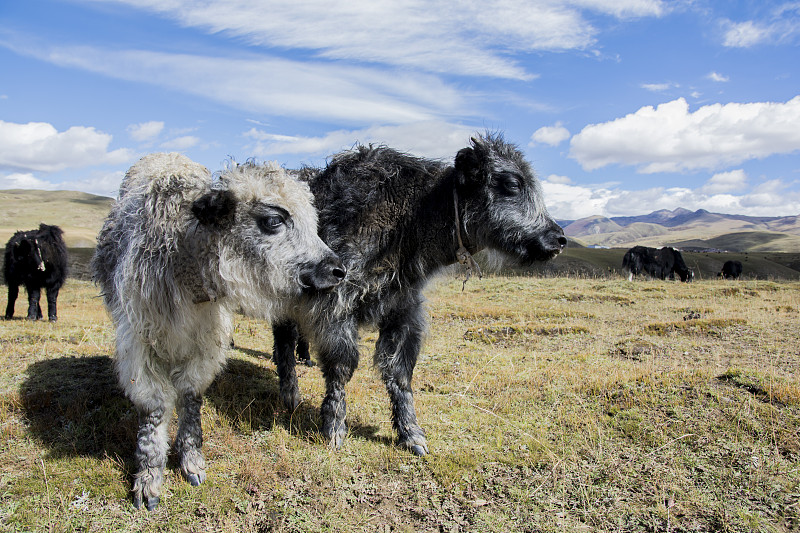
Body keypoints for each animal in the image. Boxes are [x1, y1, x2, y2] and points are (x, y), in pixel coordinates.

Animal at [93, 152, 344, 510]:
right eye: (273, 220)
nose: (338, 270)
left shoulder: (205, 345)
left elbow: (190, 396)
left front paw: (192, 461)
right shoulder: (139, 343)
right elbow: (154, 408)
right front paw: (149, 477)